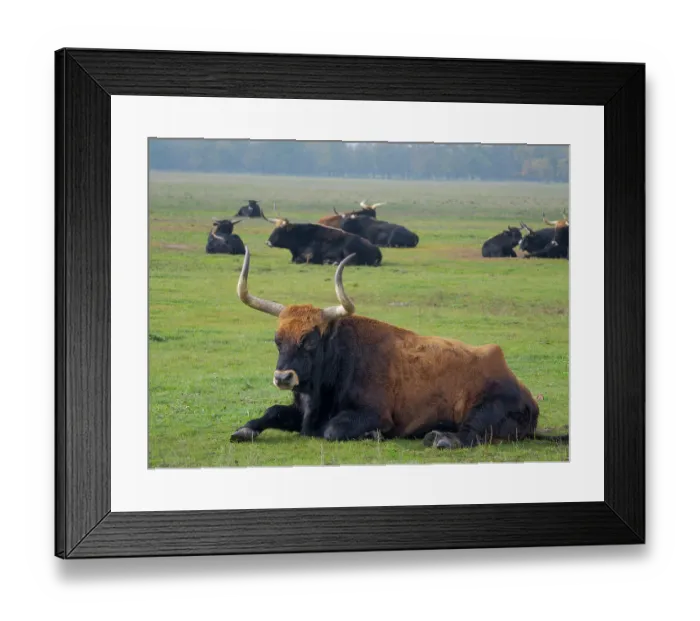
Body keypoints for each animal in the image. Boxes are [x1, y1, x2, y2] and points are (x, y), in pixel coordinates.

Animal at [230, 248, 569, 449]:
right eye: (277, 339)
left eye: (309, 340)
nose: (283, 377)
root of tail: (522, 389)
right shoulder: (300, 411)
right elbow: (272, 411)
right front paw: (245, 429)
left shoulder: (372, 414)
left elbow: (333, 430)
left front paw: (372, 435)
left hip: (482, 411)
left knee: (471, 435)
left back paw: (440, 438)